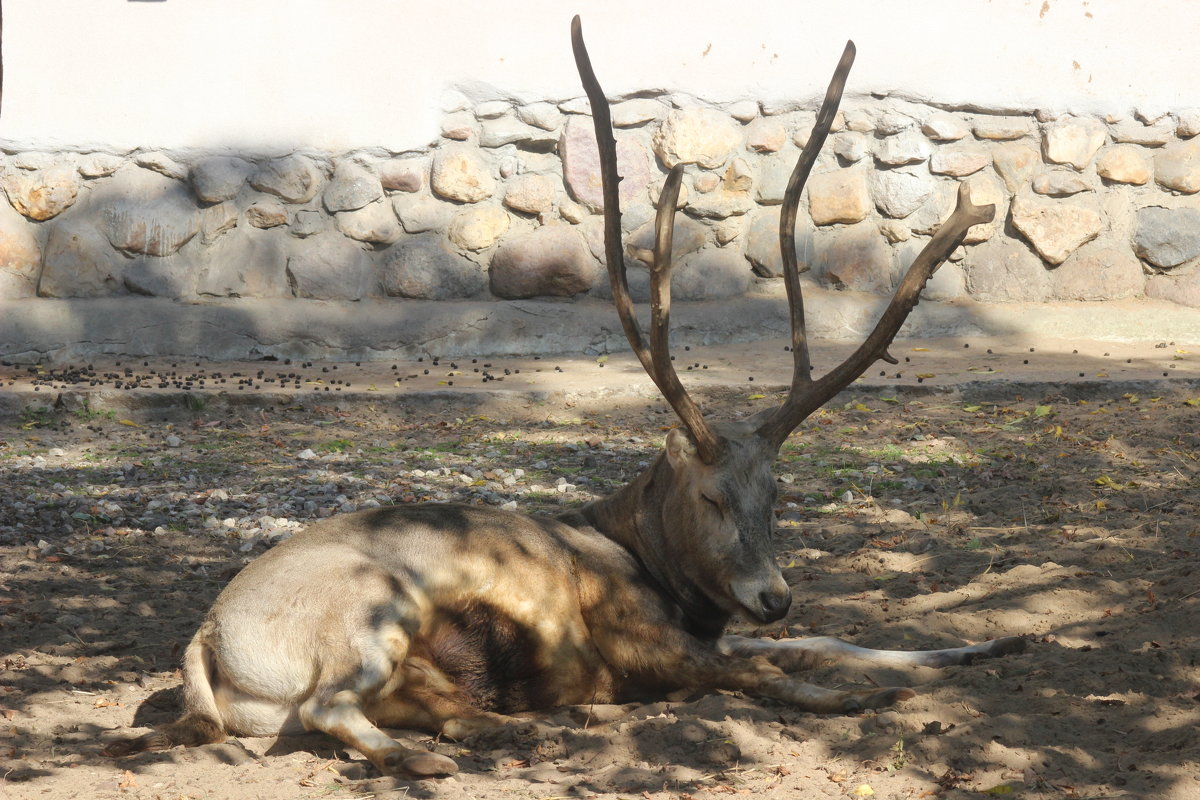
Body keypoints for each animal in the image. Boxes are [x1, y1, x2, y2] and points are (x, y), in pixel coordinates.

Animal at [105, 17, 1022, 782]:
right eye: (710, 496)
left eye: (779, 492)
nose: (773, 594)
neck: (650, 567)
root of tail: (205, 639)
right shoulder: (642, 649)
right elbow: (773, 668)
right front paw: (873, 696)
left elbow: (825, 637)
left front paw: (991, 643)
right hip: (372, 609)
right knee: (338, 708)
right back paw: (445, 756)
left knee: (419, 709)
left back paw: (506, 729)